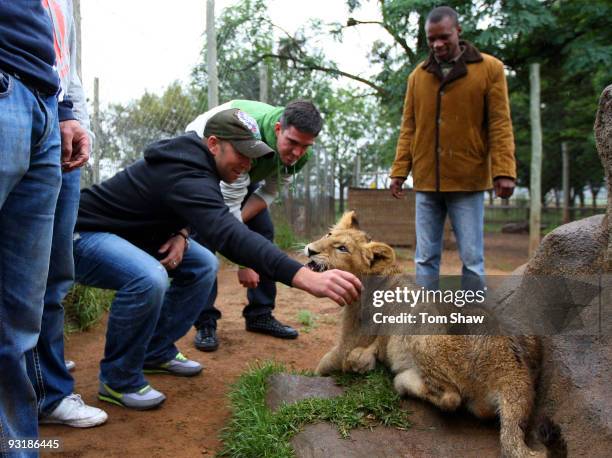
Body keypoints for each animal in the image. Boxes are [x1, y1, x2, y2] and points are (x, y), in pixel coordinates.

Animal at [304, 213, 568, 458]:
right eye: (328, 234)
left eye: (342, 248)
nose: (310, 250)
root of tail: (515, 370)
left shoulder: (347, 345)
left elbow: (325, 364)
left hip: (422, 334)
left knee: (451, 398)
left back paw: (401, 380)